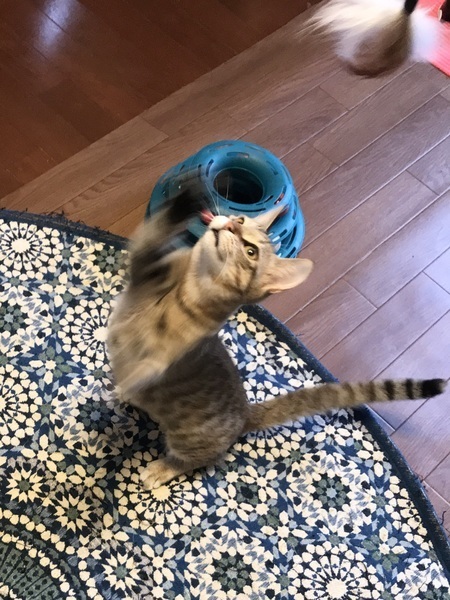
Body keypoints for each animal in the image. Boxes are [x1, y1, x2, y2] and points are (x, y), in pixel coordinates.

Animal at [107, 184, 446, 490]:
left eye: (251, 251)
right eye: (241, 221)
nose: (229, 223)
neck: (184, 286)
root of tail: (245, 412)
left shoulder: (167, 351)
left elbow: (153, 356)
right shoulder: (143, 271)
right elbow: (151, 238)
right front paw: (185, 197)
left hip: (188, 439)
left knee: (198, 458)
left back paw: (161, 467)